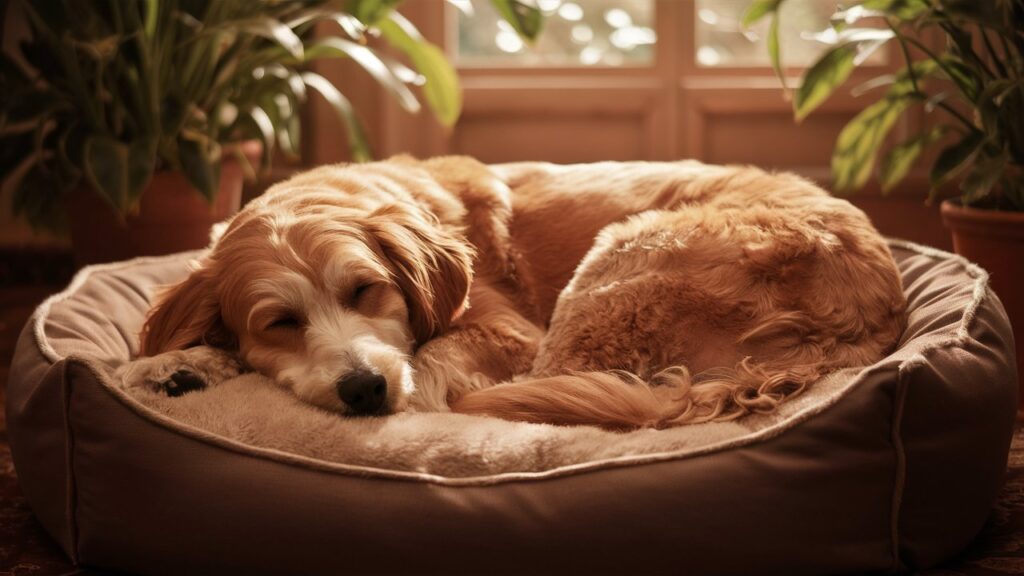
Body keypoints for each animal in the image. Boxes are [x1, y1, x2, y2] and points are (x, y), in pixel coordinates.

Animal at [125, 154, 905, 428]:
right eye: (281, 322)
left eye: (366, 290)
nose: (364, 390)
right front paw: (177, 364)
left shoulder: (507, 332)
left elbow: (433, 366)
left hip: (618, 263)